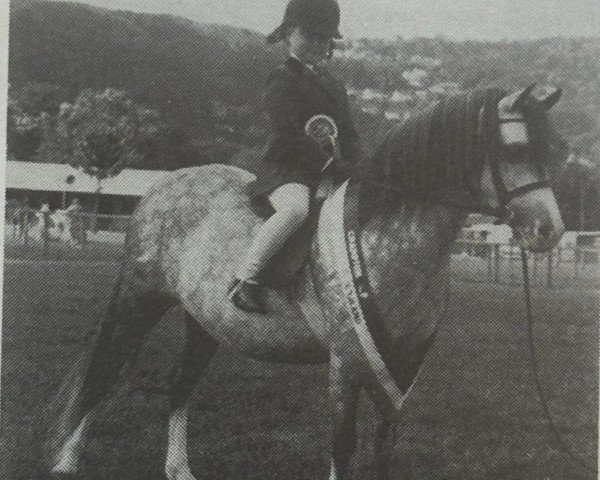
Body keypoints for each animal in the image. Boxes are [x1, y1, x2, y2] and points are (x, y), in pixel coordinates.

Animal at [42, 84, 568, 478]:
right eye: (516, 148)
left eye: (554, 151)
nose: (549, 231)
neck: (389, 234)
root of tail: (165, 185)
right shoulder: (348, 359)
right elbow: (342, 444)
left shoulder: (403, 362)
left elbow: (385, 446)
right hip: (140, 299)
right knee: (105, 366)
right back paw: (66, 460)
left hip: (204, 321)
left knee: (178, 385)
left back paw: (178, 470)